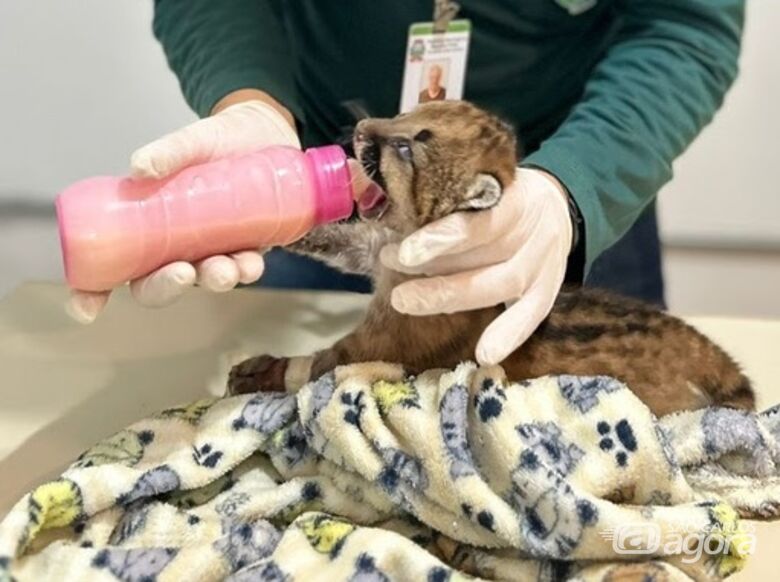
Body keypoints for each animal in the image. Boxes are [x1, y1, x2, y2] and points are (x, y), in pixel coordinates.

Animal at [227, 101, 756, 420]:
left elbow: (325, 363)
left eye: (408, 146)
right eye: (406, 113)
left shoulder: (385, 337)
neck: (409, 241)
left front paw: (261, 372)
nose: (359, 129)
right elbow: (339, 237)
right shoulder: (375, 249)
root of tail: (711, 354)